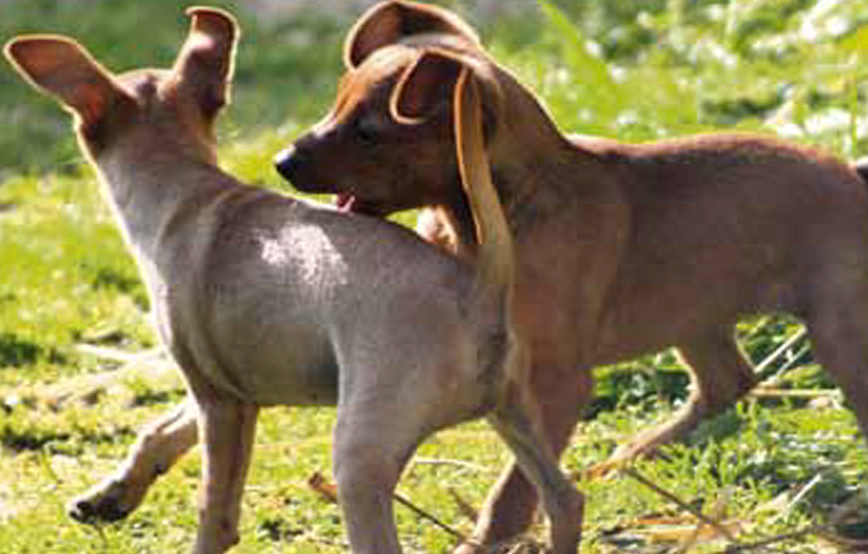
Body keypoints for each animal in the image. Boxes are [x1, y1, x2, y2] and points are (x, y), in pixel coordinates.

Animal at [6, 5, 584, 552]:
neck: (189, 189)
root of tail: (479, 288)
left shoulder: (218, 401)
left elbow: (215, 511)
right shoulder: (233, 389)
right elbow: (163, 428)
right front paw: (112, 494)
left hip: (360, 456)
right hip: (516, 415)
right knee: (565, 500)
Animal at [272, 0, 868, 548]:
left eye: (368, 132)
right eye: (334, 106)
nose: (280, 161)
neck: (493, 216)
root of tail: (853, 174)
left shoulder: (557, 379)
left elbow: (518, 484)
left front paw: (491, 537)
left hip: (837, 331)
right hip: (693, 310)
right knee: (728, 380)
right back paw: (636, 452)